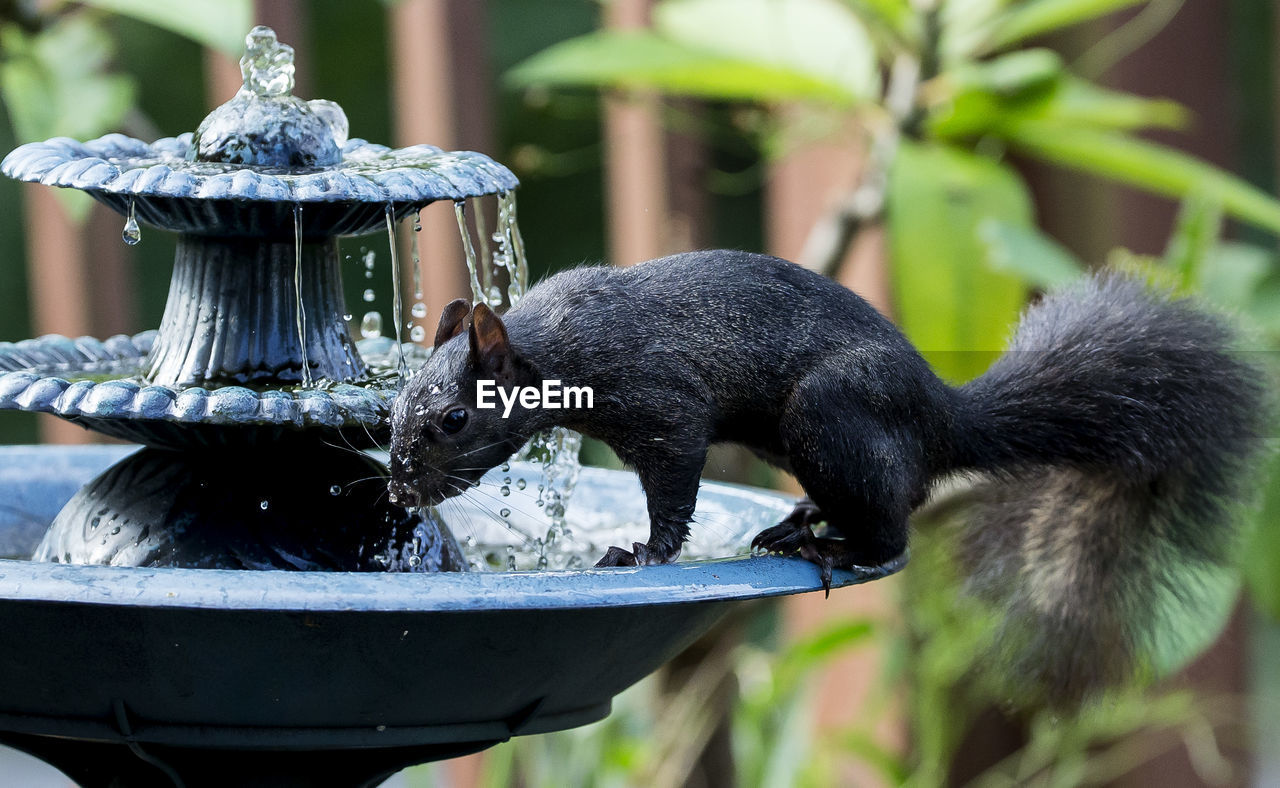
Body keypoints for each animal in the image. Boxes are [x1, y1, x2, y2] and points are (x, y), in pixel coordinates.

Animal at [384, 249, 1264, 701]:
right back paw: (796, 523)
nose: (398, 489)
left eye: (452, 420)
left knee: (895, 532)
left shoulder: (667, 409)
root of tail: (944, 420)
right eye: (395, 403)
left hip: (829, 417)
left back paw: (834, 546)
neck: (556, 345)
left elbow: (673, 494)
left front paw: (640, 554)